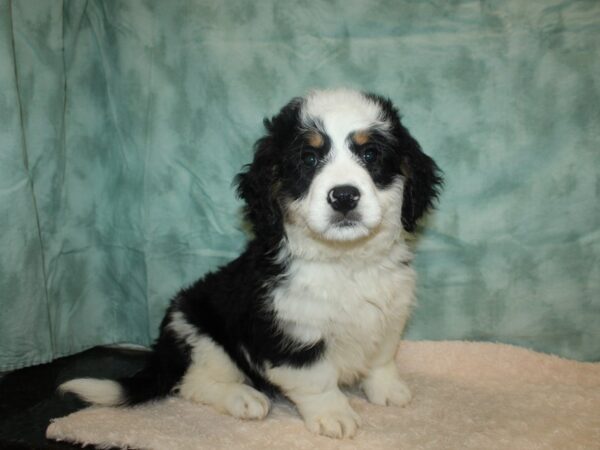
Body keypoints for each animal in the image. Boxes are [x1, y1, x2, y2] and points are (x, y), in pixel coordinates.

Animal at [61, 89, 442, 440]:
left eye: (370, 154)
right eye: (308, 158)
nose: (344, 196)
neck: (344, 260)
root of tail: (162, 351)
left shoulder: (390, 310)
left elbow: (382, 358)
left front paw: (388, 390)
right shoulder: (291, 332)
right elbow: (317, 380)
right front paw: (334, 415)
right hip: (199, 332)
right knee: (191, 383)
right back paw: (244, 398)